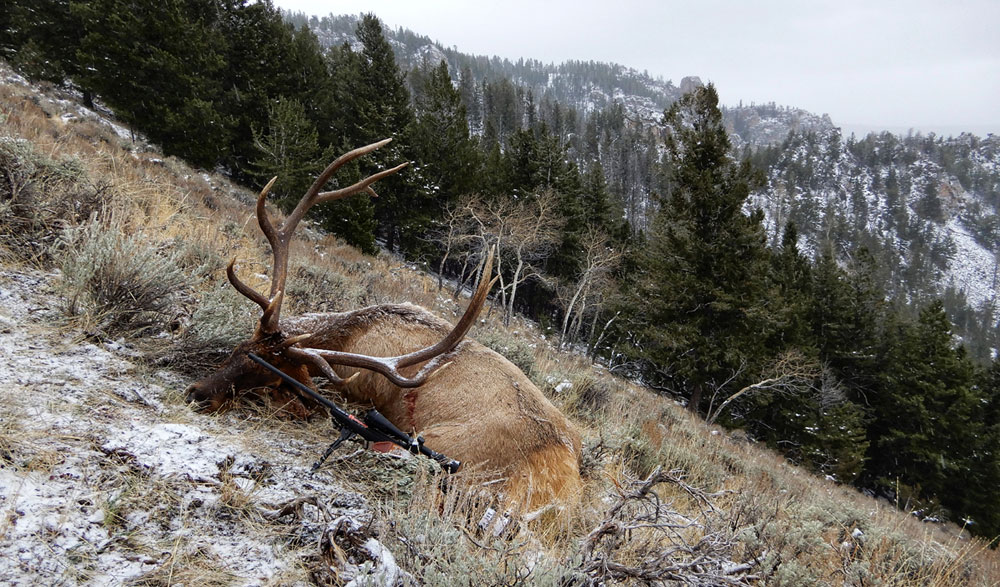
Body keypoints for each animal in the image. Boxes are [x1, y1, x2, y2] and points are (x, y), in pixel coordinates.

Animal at [184, 140, 584, 508]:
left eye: (268, 376)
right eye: (241, 349)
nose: (197, 393)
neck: (349, 337)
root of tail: (565, 484)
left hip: (443, 445)